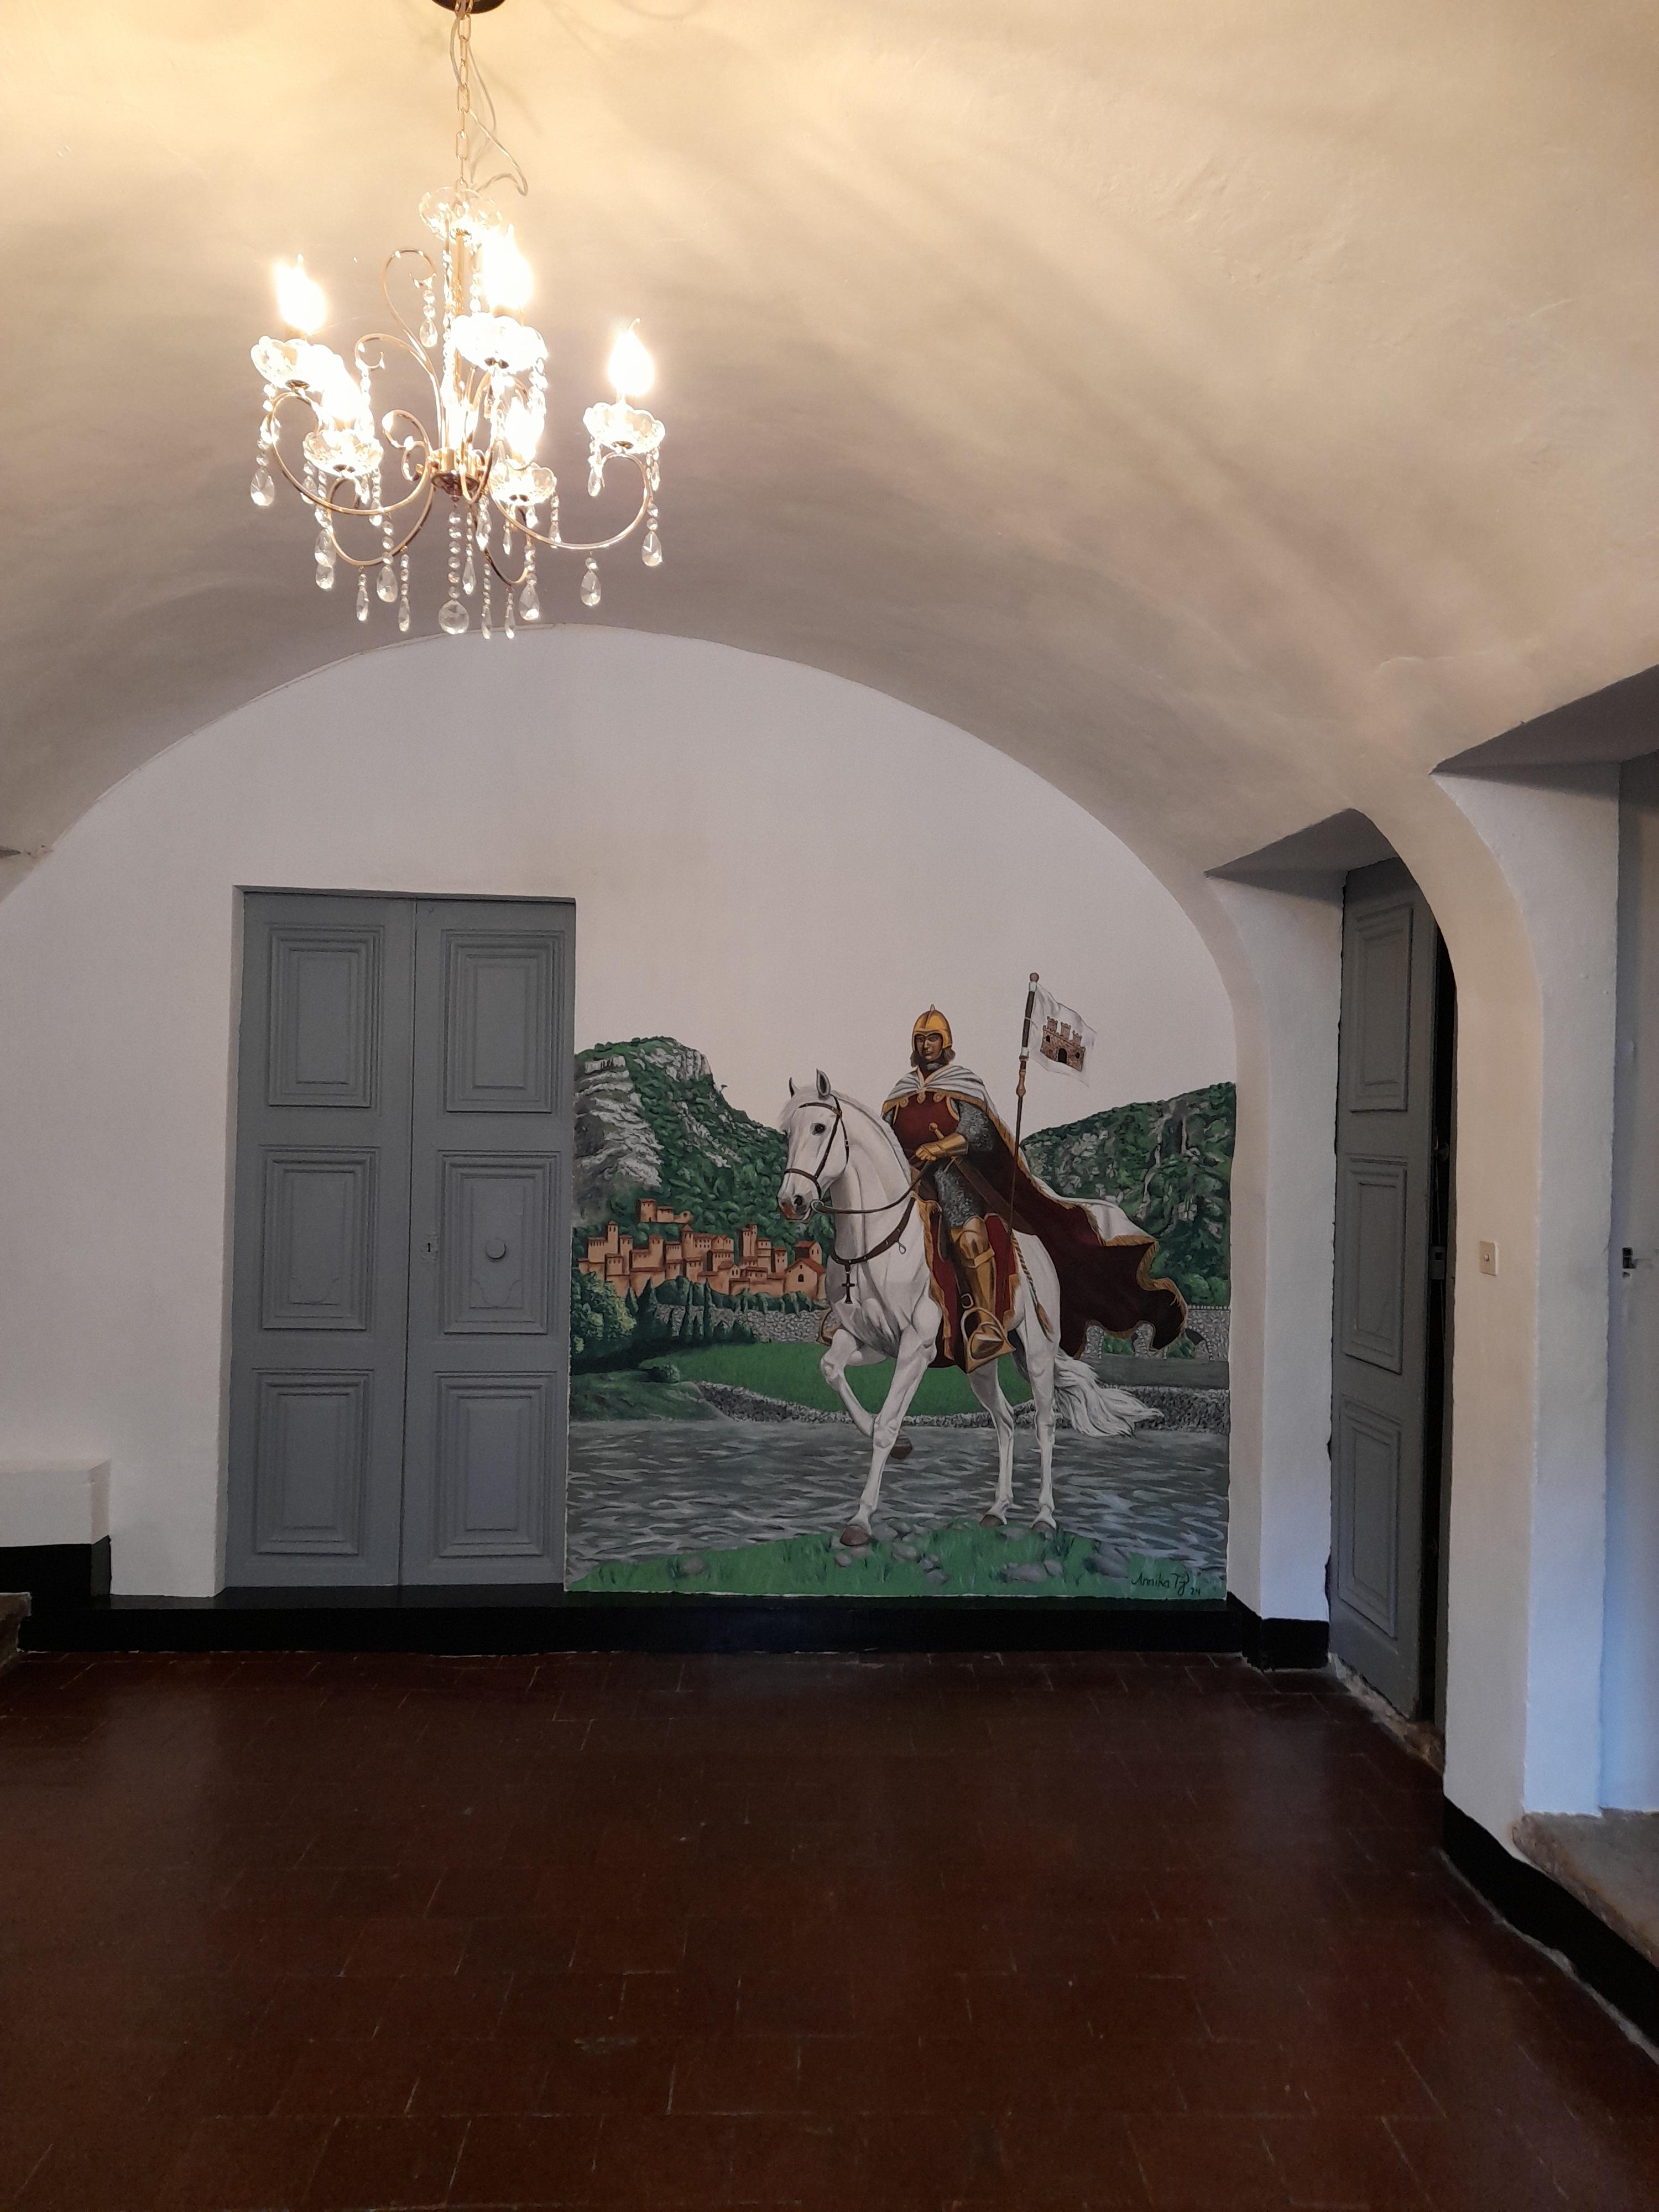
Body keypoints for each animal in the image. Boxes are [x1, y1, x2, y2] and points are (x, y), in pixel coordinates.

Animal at [777, 1072, 1156, 1545]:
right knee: (1006, 1421)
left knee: (1045, 1424)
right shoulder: (867, 1341)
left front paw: (861, 1519)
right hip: (980, 1365)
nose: (791, 1201)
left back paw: (1044, 1517)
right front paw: (900, 1446)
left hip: (1038, 1351)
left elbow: (886, 1424)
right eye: (787, 1132)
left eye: (820, 1128)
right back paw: (998, 1509)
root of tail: (1038, 1250)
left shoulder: (916, 1347)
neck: (878, 1239)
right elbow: (832, 1371)